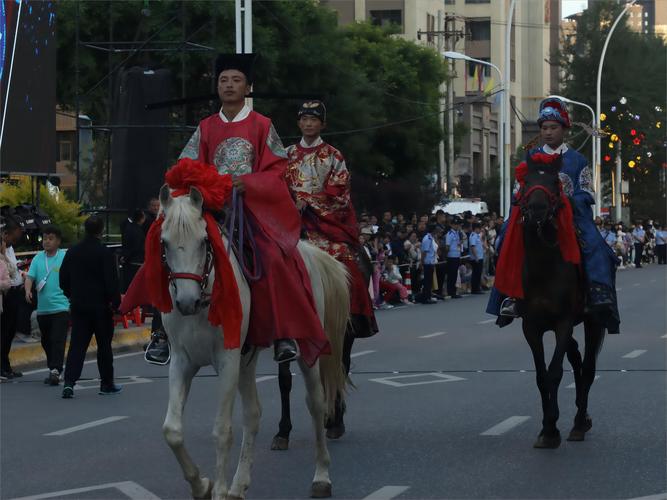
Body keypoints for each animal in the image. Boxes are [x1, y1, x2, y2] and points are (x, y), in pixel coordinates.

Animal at [159, 186, 352, 498]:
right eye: (164, 243)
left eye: (203, 241)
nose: (186, 302)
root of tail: (306, 250)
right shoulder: (182, 360)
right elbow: (172, 430)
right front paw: (202, 485)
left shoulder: (227, 360)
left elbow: (223, 430)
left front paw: (219, 490)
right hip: (246, 362)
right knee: (253, 413)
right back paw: (239, 485)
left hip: (306, 349)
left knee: (316, 403)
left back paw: (321, 476)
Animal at [520, 156, 608, 450]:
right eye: (526, 181)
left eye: (553, 183)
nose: (537, 208)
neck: (544, 268)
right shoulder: (530, 327)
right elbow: (540, 376)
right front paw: (547, 427)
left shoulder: (563, 321)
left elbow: (554, 372)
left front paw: (551, 428)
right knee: (577, 357)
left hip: (593, 321)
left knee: (588, 368)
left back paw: (580, 423)